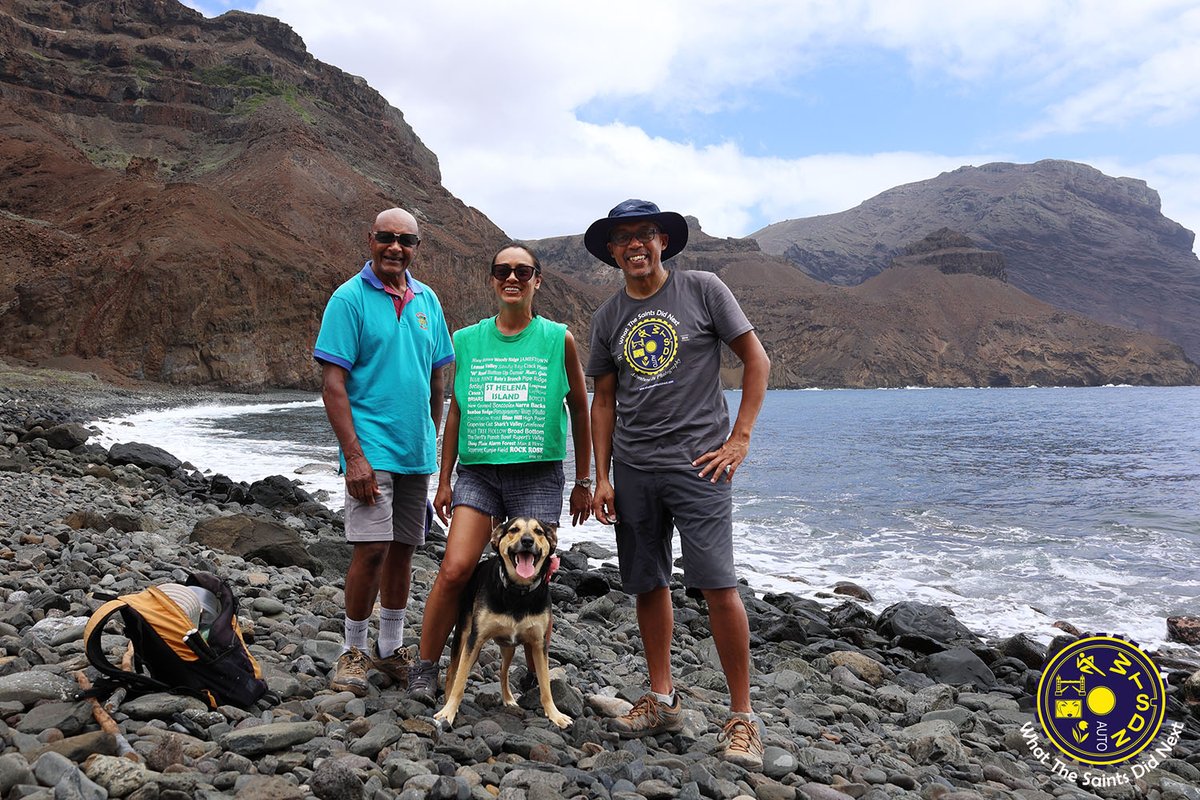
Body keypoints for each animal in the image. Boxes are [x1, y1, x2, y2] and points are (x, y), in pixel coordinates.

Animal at [432, 515, 571, 729]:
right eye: (513, 529)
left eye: (539, 532)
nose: (527, 541)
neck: (518, 591)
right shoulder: (475, 639)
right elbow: (460, 680)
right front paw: (448, 711)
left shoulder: (539, 644)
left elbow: (546, 684)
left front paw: (555, 715)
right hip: (464, 636)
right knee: (452, 670)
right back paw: (447, 698)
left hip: (508, 647)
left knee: (503, 672)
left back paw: (508, 698)